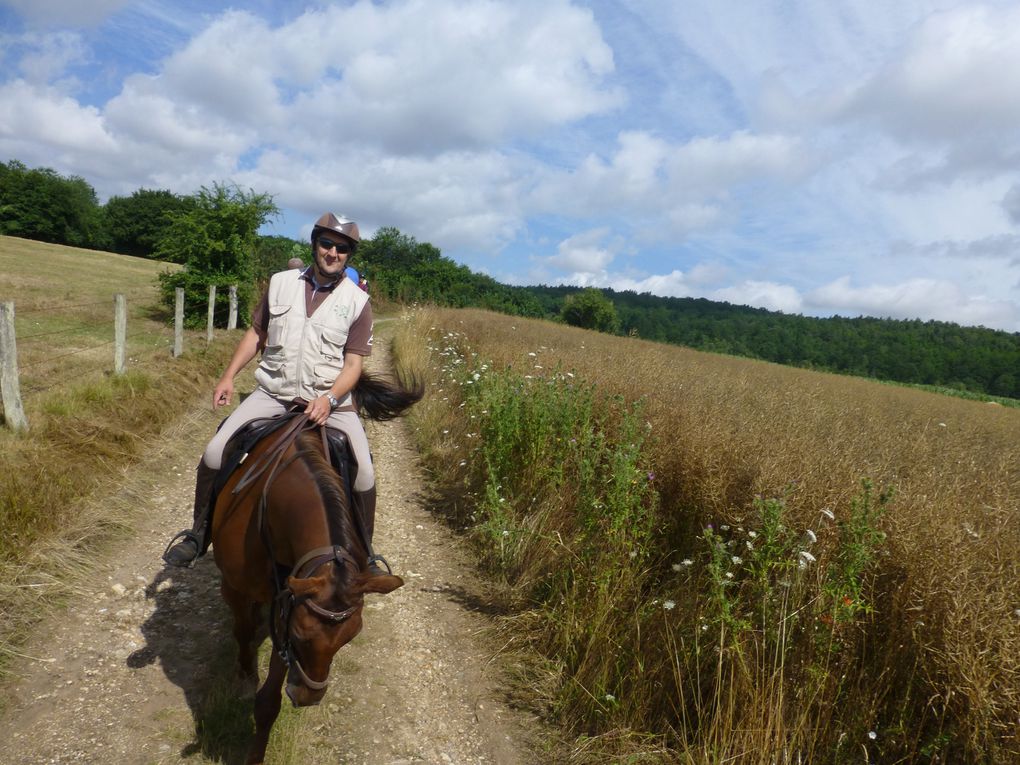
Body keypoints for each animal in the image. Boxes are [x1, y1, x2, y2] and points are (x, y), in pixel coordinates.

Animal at [211, 375, 422, 762]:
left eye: (349, 638)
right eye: (299, 636)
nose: (308, 698)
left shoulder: (287, 602)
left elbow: (269, 702)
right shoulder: (243, 591)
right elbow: (242, 631)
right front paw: (245, 675)